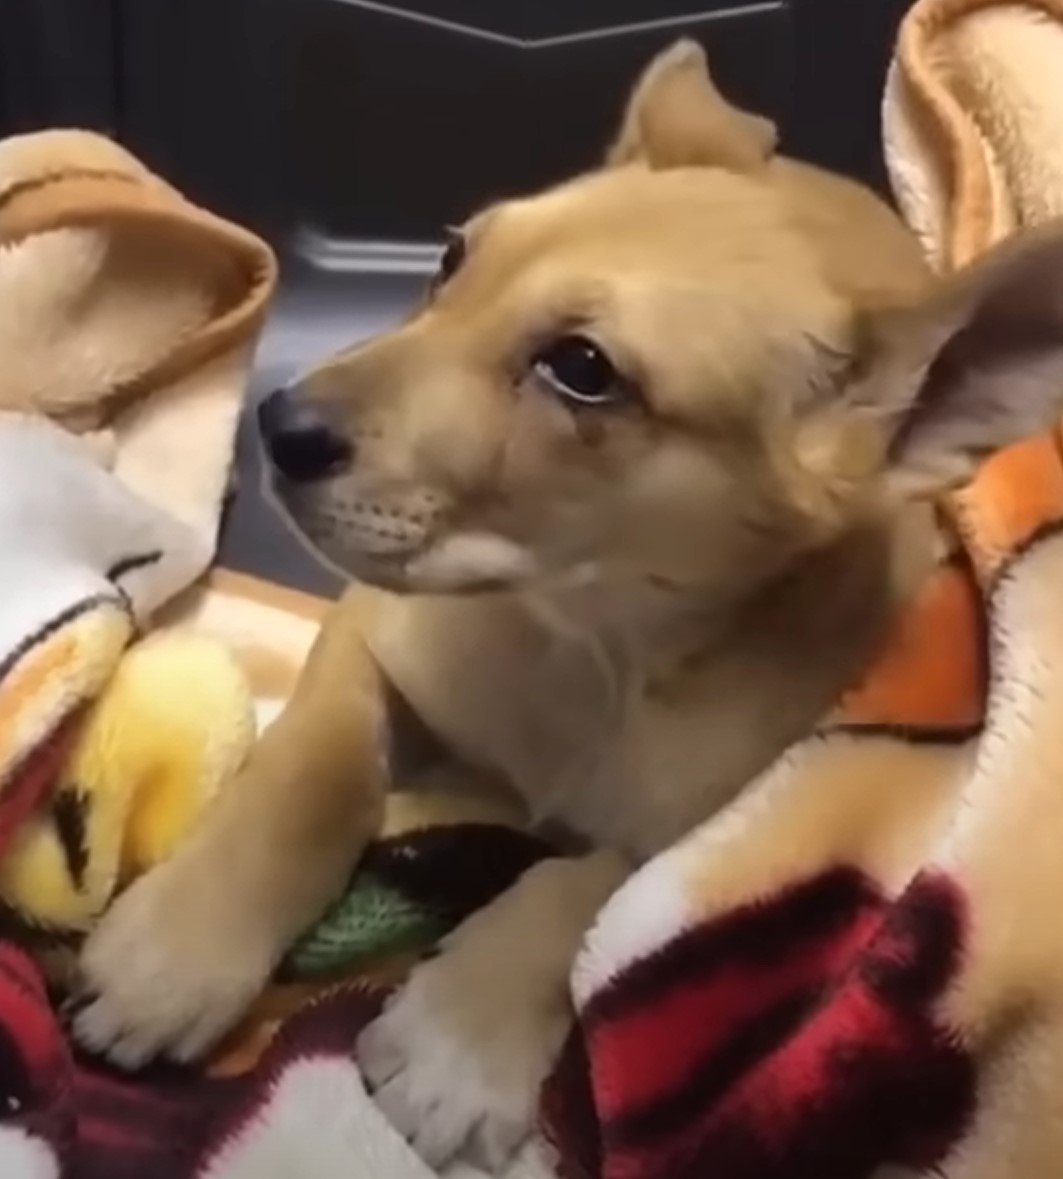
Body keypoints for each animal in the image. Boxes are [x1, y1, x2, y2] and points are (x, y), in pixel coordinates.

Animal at [70, 41, 1063, 1174]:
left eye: (583, 370)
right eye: (453, 258)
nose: (281, 425)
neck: (586, 642)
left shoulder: (724, 809)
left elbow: (590, 889)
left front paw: (462, 1039)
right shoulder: (370, 637)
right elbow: (312, 773)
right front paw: (178, 950)